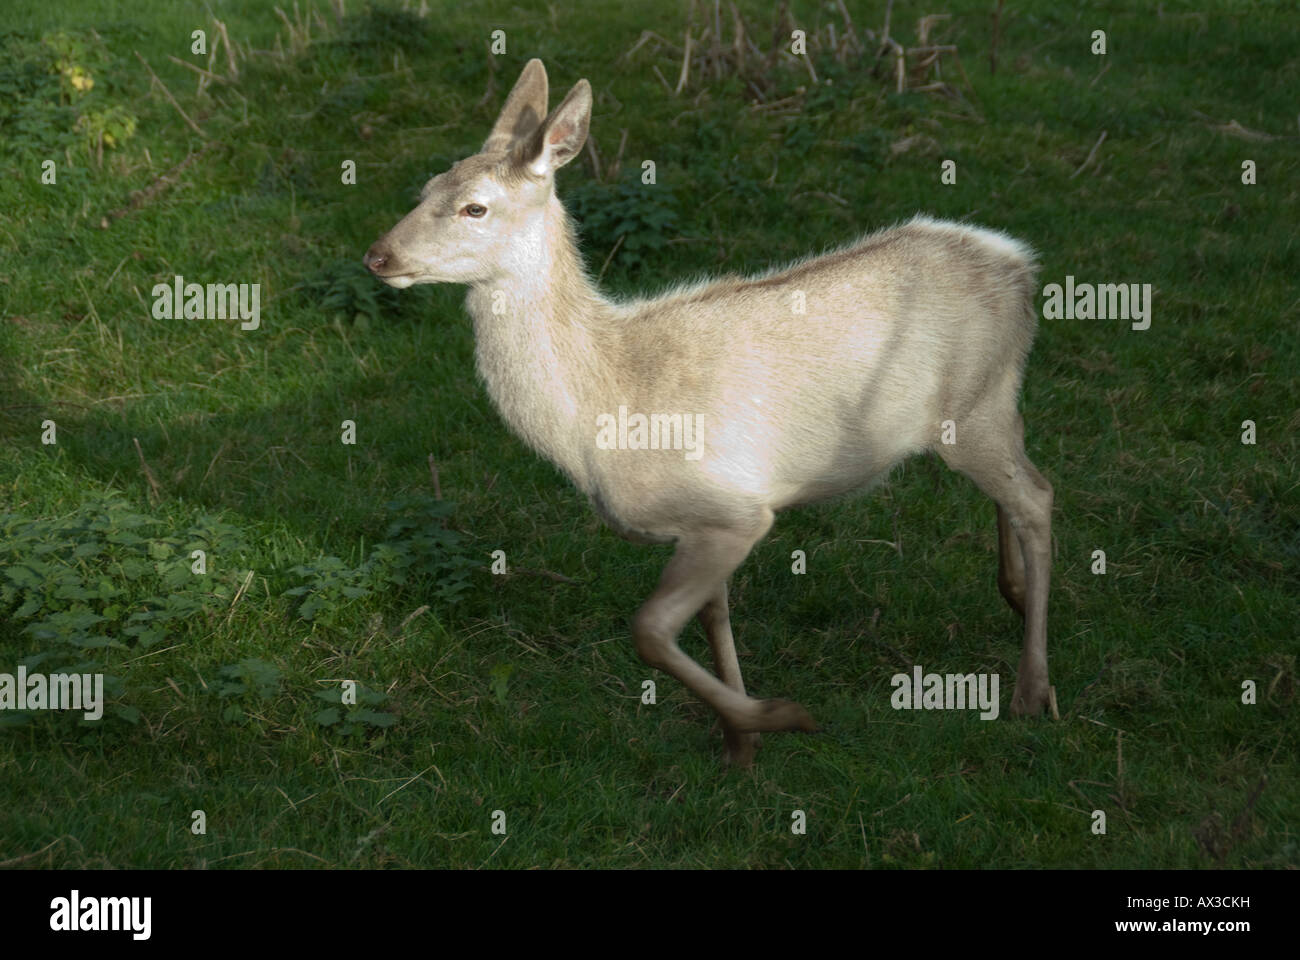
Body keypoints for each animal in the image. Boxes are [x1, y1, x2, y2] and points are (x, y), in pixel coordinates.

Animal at [363, 59, 1054, 768]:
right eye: (427, 186)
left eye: (475, 206)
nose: (378, 255)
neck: (600, 420)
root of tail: (1018, 263)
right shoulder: (703, 521)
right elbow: (711, 616)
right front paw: (738, 745)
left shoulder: (733, 510)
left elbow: (648, 629)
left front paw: (780, 716)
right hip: (984, 405)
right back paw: (1013, 594)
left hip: (977, 405)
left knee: (1037, 495)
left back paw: (1033, 689)